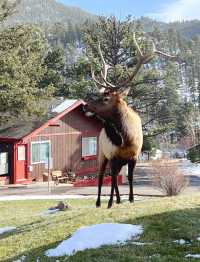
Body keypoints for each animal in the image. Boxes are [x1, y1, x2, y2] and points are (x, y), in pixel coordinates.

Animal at [86, 33, 177, 209]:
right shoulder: (114, 155)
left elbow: (129, 178)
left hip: (116, 160)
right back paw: (100, 202)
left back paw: (117, 199)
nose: (85, 105)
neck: (126, 139)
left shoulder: (134, 156)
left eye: (106, 98)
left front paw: (130, 198)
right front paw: (110, 202)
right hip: (102, 154)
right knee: (102, 176)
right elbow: (113, 179)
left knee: (113, 177)